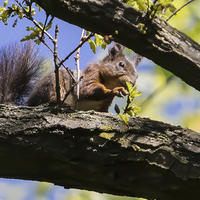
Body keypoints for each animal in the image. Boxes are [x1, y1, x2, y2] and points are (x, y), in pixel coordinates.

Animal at [0, 42, 142, 111]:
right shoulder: (90, 73)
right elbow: (87, 90)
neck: (109, 83)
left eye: (137, 75)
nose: (132, 83)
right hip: (52, 85)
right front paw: (115, 90)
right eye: (121, 64)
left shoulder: (103, 105)